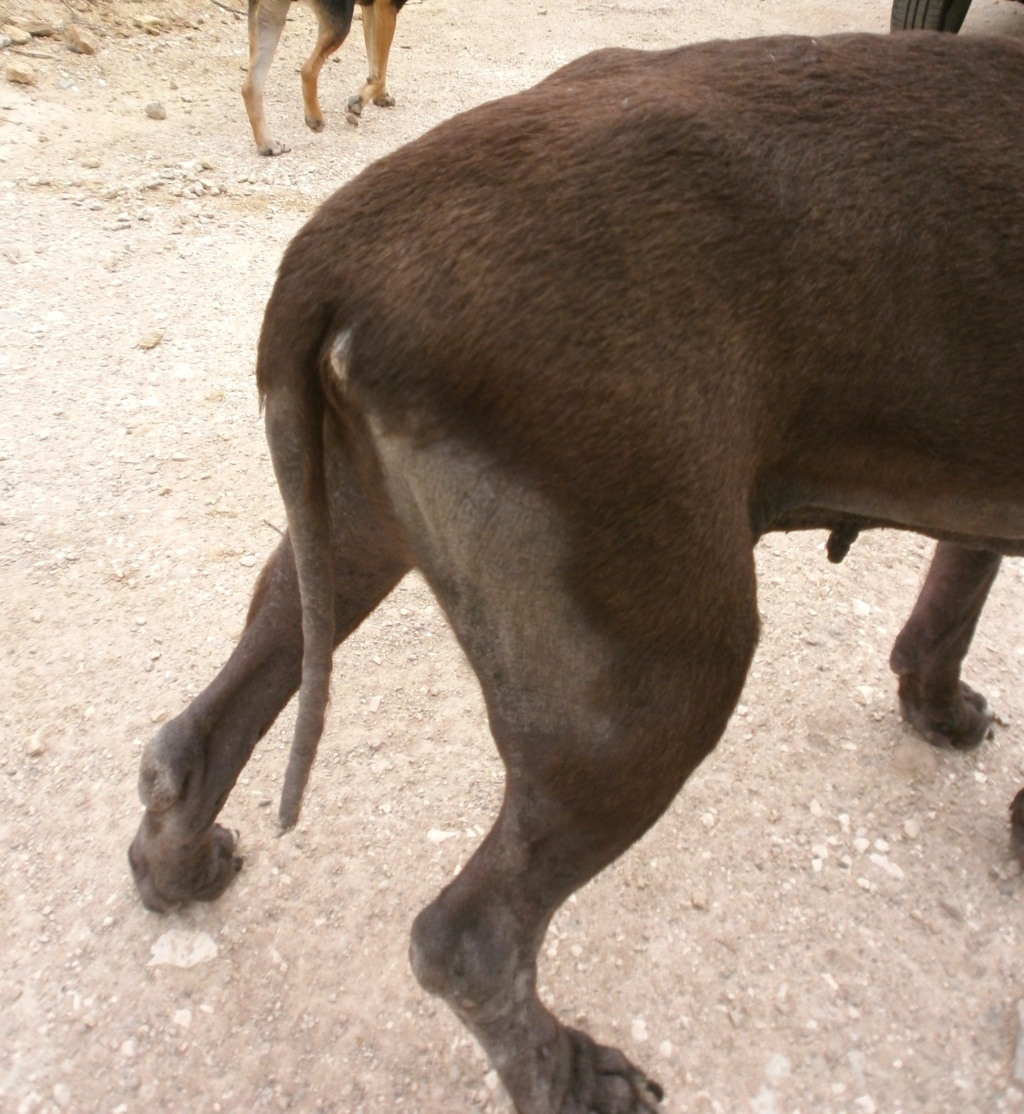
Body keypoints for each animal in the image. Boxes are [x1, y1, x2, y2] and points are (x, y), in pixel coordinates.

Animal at [134, 34, 1024, 1114]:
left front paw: (935, 705)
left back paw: (175, 865)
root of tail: (343, 240)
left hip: (348, 529)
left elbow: (961, 578)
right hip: (652, 679)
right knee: (469, 938)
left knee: (197, 733)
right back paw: (565, 1074)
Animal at [244, 0, 407, 155]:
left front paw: (380, 96)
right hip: (339, 24)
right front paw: (359, 101)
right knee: (308, 70)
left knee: (250, 87)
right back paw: (314, 118)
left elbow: (375, 63)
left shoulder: (371, 9)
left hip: (268, 20)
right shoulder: (387, 6)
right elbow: (380, 71)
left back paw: (266, 143)